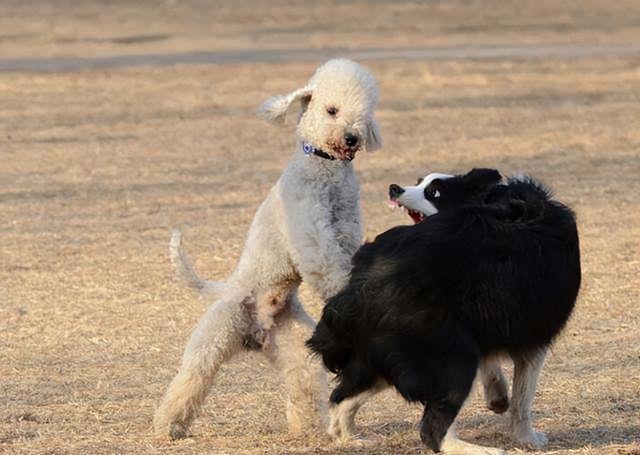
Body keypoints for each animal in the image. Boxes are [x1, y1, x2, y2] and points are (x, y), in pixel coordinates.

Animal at [152, 58, 382, 440]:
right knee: (191, 378)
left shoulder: (346, 229)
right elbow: (328, 266)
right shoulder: (310, 234)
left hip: (294, 342)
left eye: (362, 114)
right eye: (331, 110)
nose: (352, 137)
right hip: (216, 334)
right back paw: (168, 426)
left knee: (302, 380)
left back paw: (305, 428)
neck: (325, 170)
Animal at [308, 170, 584, 455]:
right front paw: (527, 437)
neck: (491, 195)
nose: (394, 188)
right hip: (449, 352)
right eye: (420, 184)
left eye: (434, 191)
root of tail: (368, 277)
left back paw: (349, 438)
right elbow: (523, 397)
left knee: (341, 397)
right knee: (434, 430)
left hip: (380, 349)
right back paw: (483, 450)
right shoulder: (535, 333)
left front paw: (498, 396)